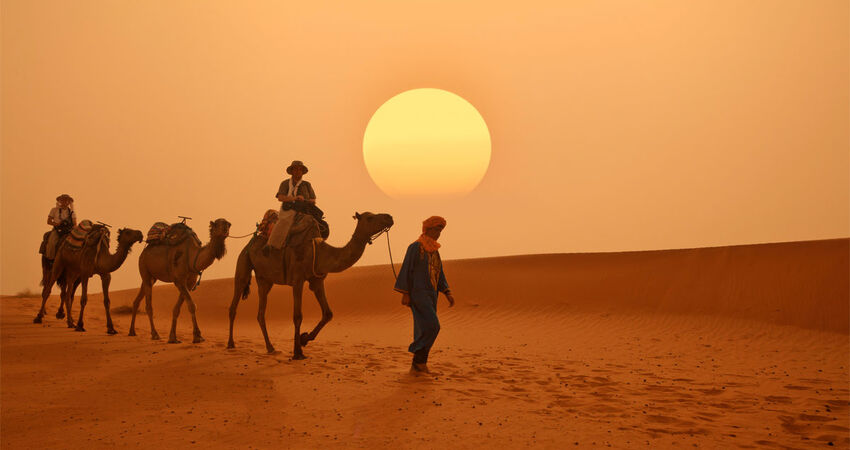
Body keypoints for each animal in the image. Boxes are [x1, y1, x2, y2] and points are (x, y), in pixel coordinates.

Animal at [227, 210, 396, 358]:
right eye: (369, 218)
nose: (389, 217)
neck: (321, 253)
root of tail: (253, 239)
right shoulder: (297, 279)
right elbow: (297, 316)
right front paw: (298, 353)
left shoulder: (317, 281)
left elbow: (328, 313)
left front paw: (304, 339)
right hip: (243, 262)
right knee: (235, 303)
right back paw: (230, 344)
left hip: (265, 279)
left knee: (261, 313)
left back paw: (270, 348)